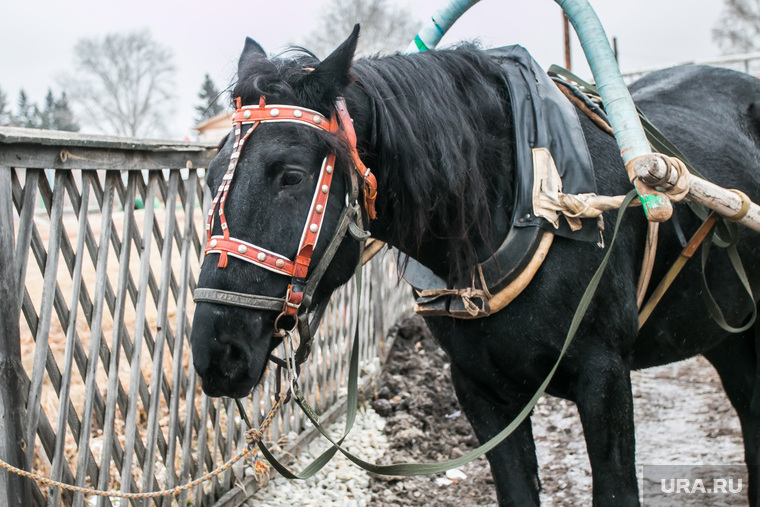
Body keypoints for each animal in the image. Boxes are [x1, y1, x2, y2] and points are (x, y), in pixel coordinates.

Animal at [191, 27, 760, 507]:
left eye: (290, 174)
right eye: (212, 174)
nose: (216, 352)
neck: (523, 198)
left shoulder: (605, 378)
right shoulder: (479, 388)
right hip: (729, 337)